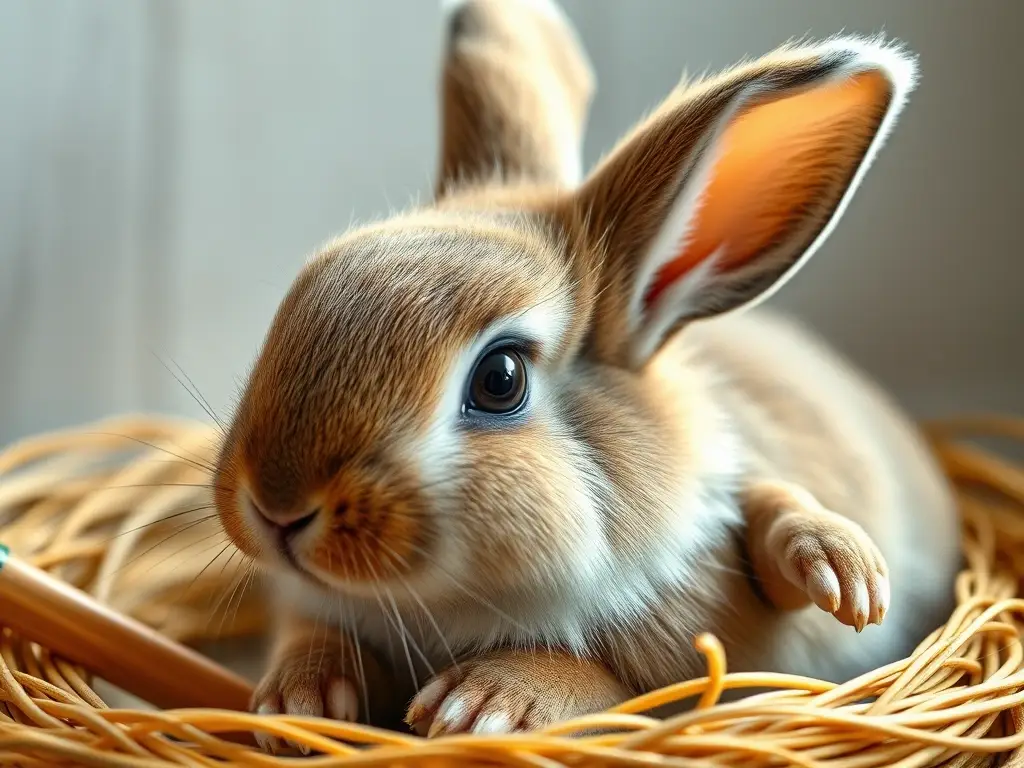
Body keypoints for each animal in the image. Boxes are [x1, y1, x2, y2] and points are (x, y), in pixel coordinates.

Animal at [212, 0, 962, 748]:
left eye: (501, 379)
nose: (277, 507)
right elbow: (316, 637)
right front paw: (299, 700)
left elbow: (615, 679)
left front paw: (488, 703)